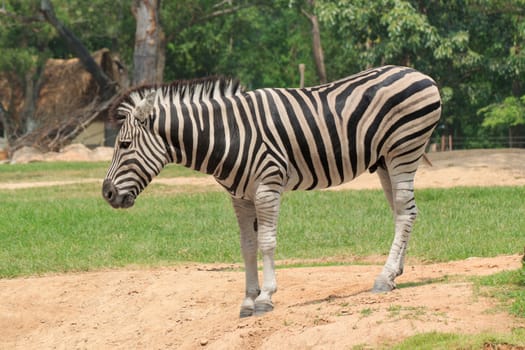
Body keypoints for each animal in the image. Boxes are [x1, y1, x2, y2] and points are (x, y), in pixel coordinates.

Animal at [101, 65, 438, 318]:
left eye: (124, 145)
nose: (106, 194)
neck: (229, 135)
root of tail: (418, 73)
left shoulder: (267, 187)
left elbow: (266, 242)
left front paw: (265, 298)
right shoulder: (239, 197)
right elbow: (247, 246)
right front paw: (248, 300)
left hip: (403, 150)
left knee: (405, 211)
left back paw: (384, 277)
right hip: (383, 162)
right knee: (403, 212)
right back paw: (395, 272)